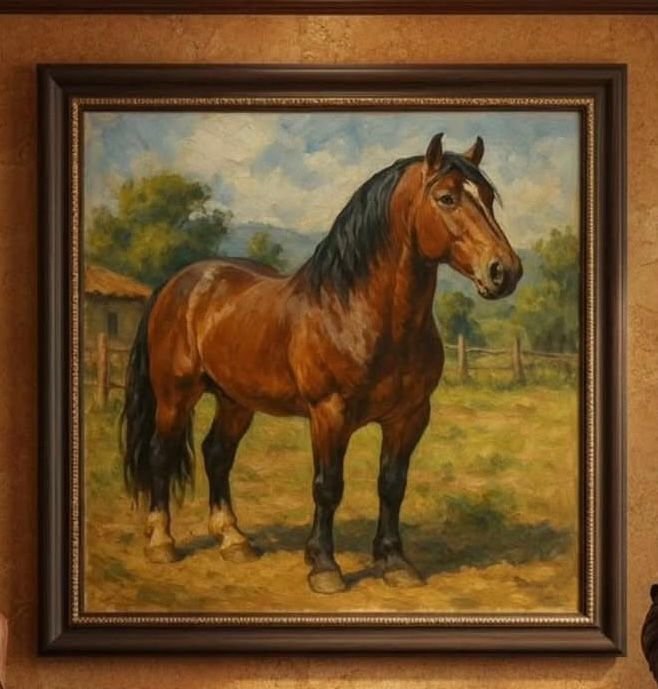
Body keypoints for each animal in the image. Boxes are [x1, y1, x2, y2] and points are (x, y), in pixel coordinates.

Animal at [121, 132, 523, 594]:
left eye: (488, 197)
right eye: (446, 198)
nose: (504, 271)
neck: (357, 312)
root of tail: (178, 283)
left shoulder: (409, 416)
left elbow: (392, 485)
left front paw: (394, 562)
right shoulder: (330, 414)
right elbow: (328, 486)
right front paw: (324, 567)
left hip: (235, 401)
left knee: (217, 453)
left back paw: (233, 540)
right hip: (175, 396)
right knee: (161, 453)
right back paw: (161, 542)